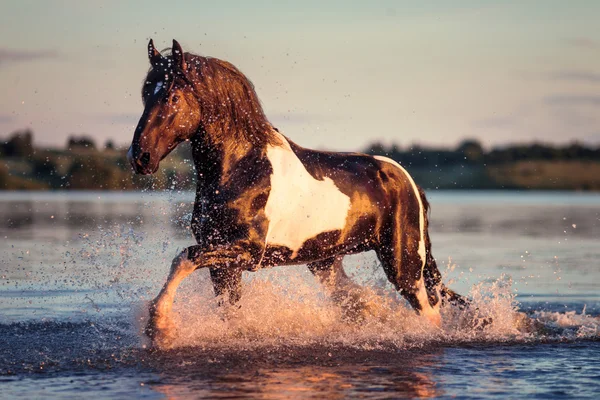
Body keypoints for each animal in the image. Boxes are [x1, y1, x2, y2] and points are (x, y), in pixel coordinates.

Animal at [129, 39, 468, 348]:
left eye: (172, 96)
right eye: (145, 94)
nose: (139, 157)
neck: (241, 168)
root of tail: (408, 181)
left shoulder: (245, 251)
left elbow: (182, 258)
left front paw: (159, 327)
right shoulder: (224, 263)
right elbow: (228, 310)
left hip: (403, 265)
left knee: (429, 313)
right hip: (325, 262)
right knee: (355, 300)